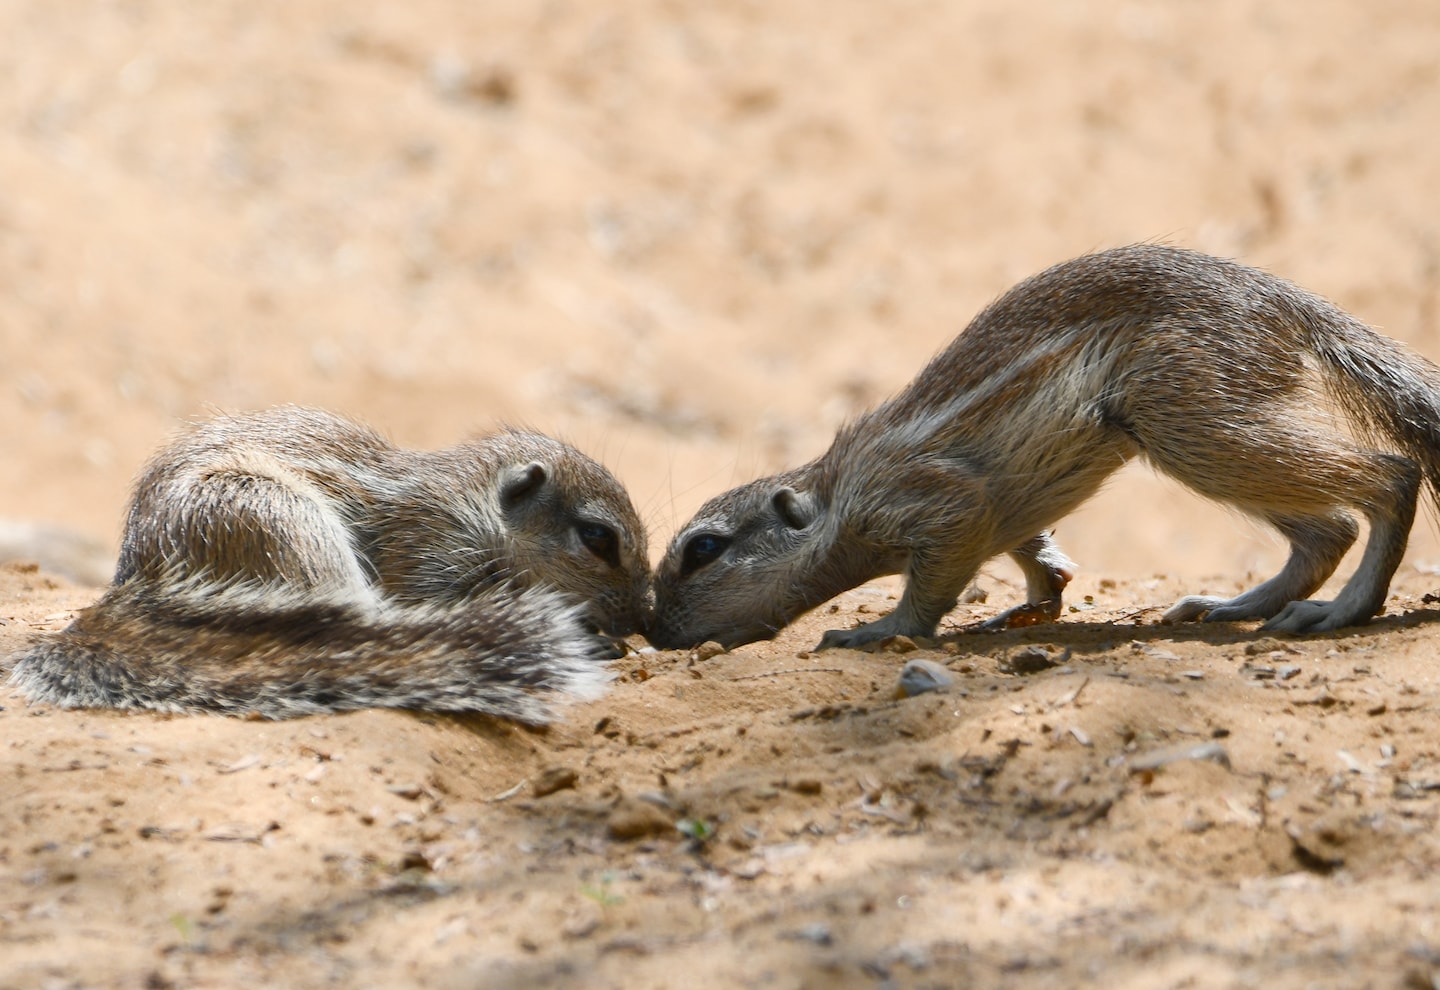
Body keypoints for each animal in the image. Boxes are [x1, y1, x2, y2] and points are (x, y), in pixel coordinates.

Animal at [9, 406, 650, 723]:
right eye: (598, 538)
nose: (640, 617)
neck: (473, 505)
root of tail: (136, 582)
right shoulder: (429, 551)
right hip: (274, 515)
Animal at [648, 244, 1440, 650]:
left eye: (703, 551)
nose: (653, 632)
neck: (838, 496)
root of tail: (1293, 305)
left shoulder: (935, 499)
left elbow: (931, 587)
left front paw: (877, 630)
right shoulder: (1002, 514)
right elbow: (1037, 554)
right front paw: (1034, 602)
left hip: (1191, 418)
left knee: (1389, 477)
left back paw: (1344, 610)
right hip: (1208, 428)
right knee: (1326, 532)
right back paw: (1231, 604)